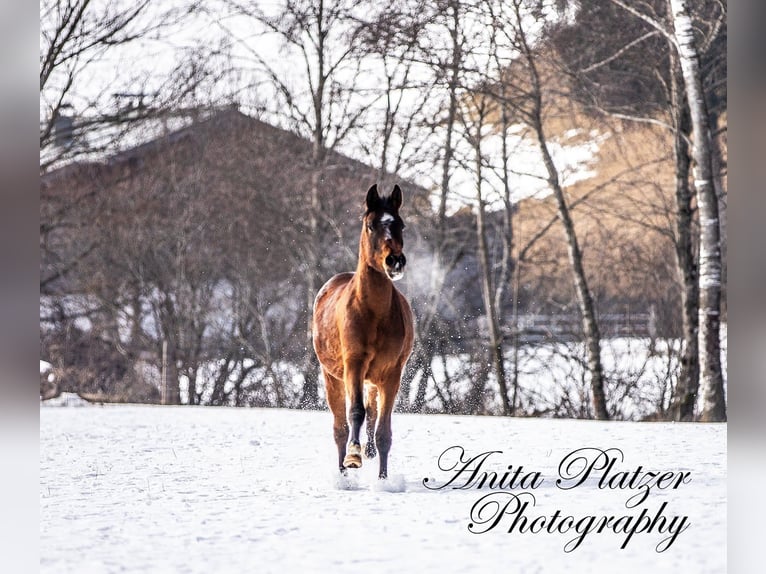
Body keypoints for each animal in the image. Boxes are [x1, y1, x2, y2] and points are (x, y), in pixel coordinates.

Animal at [314, 184, 414, 482]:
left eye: (401, 224)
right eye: (371, 225)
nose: (395, 261)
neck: (374, 314)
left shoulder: (391, 374)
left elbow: (382, 430)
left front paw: (383, 479)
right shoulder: (354, 364)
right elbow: (355, 413)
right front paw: (353, 456)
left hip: (372, 380)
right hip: (333, 378)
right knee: (340, 427)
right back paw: (342, 473)